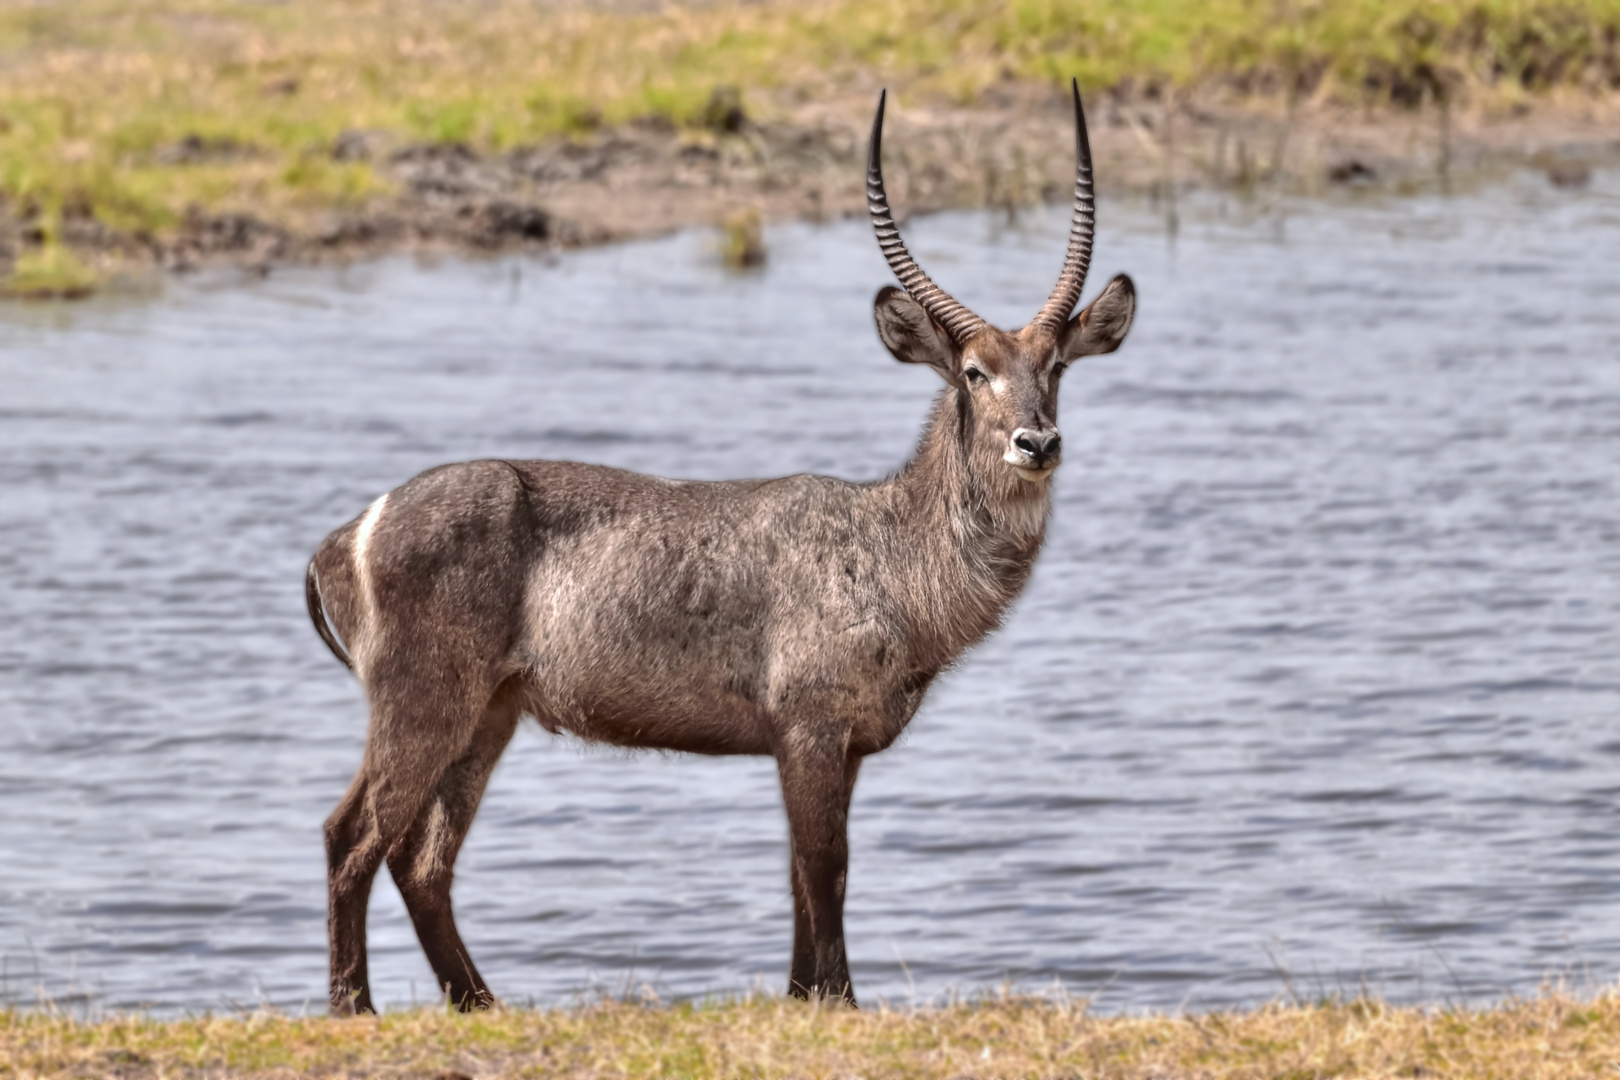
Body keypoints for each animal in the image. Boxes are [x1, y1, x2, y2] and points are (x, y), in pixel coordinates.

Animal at [306, 82, 1140, 1016]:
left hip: (488, 713)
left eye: (1056, 365)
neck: (892, 549)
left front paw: (802, 996)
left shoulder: (838, 744)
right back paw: (354, 1008)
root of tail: (346, 533)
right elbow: (826, 866)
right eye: (972, 372)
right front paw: (841, 1003)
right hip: (425, 701)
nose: (1038, 442)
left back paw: (479, 1004)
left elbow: (803, 875)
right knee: (351, 835)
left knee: (421, 859)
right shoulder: (808, 726)